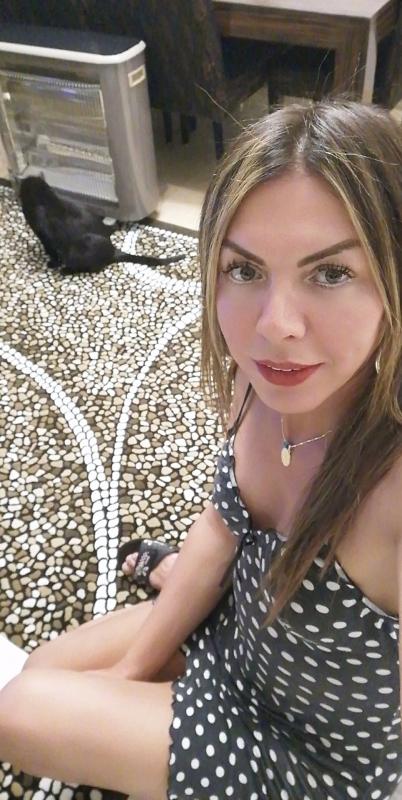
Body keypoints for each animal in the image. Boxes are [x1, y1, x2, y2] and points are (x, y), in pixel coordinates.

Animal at [19, 176, 186, 274]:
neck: (45, 197)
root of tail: (113, 250)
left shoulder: (45, 237)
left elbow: (52, 252)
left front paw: (51, 263)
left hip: (78, 251)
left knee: (91, 267)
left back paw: (66, 270)